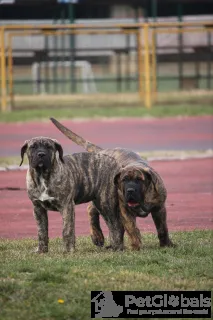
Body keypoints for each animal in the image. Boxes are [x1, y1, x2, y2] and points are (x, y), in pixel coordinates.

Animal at [50, 118, 175, 250]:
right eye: (124, 180)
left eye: (139, 180)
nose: (130, 190)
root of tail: (103, 151)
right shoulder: (124, 210)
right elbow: (132, 229)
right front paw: (135, 246)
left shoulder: (159, 208)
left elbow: (162, 228)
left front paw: (166, 244)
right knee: (92, 210)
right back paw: (97, 236)